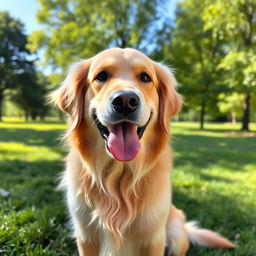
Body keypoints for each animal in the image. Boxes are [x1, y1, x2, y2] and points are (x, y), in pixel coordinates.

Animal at [52, 48, 236, 256]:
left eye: (145, 77)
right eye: (101, 76)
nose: (125, 100)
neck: (119, 177)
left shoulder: (153, 238)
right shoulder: (85, 236)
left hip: (176, 234)